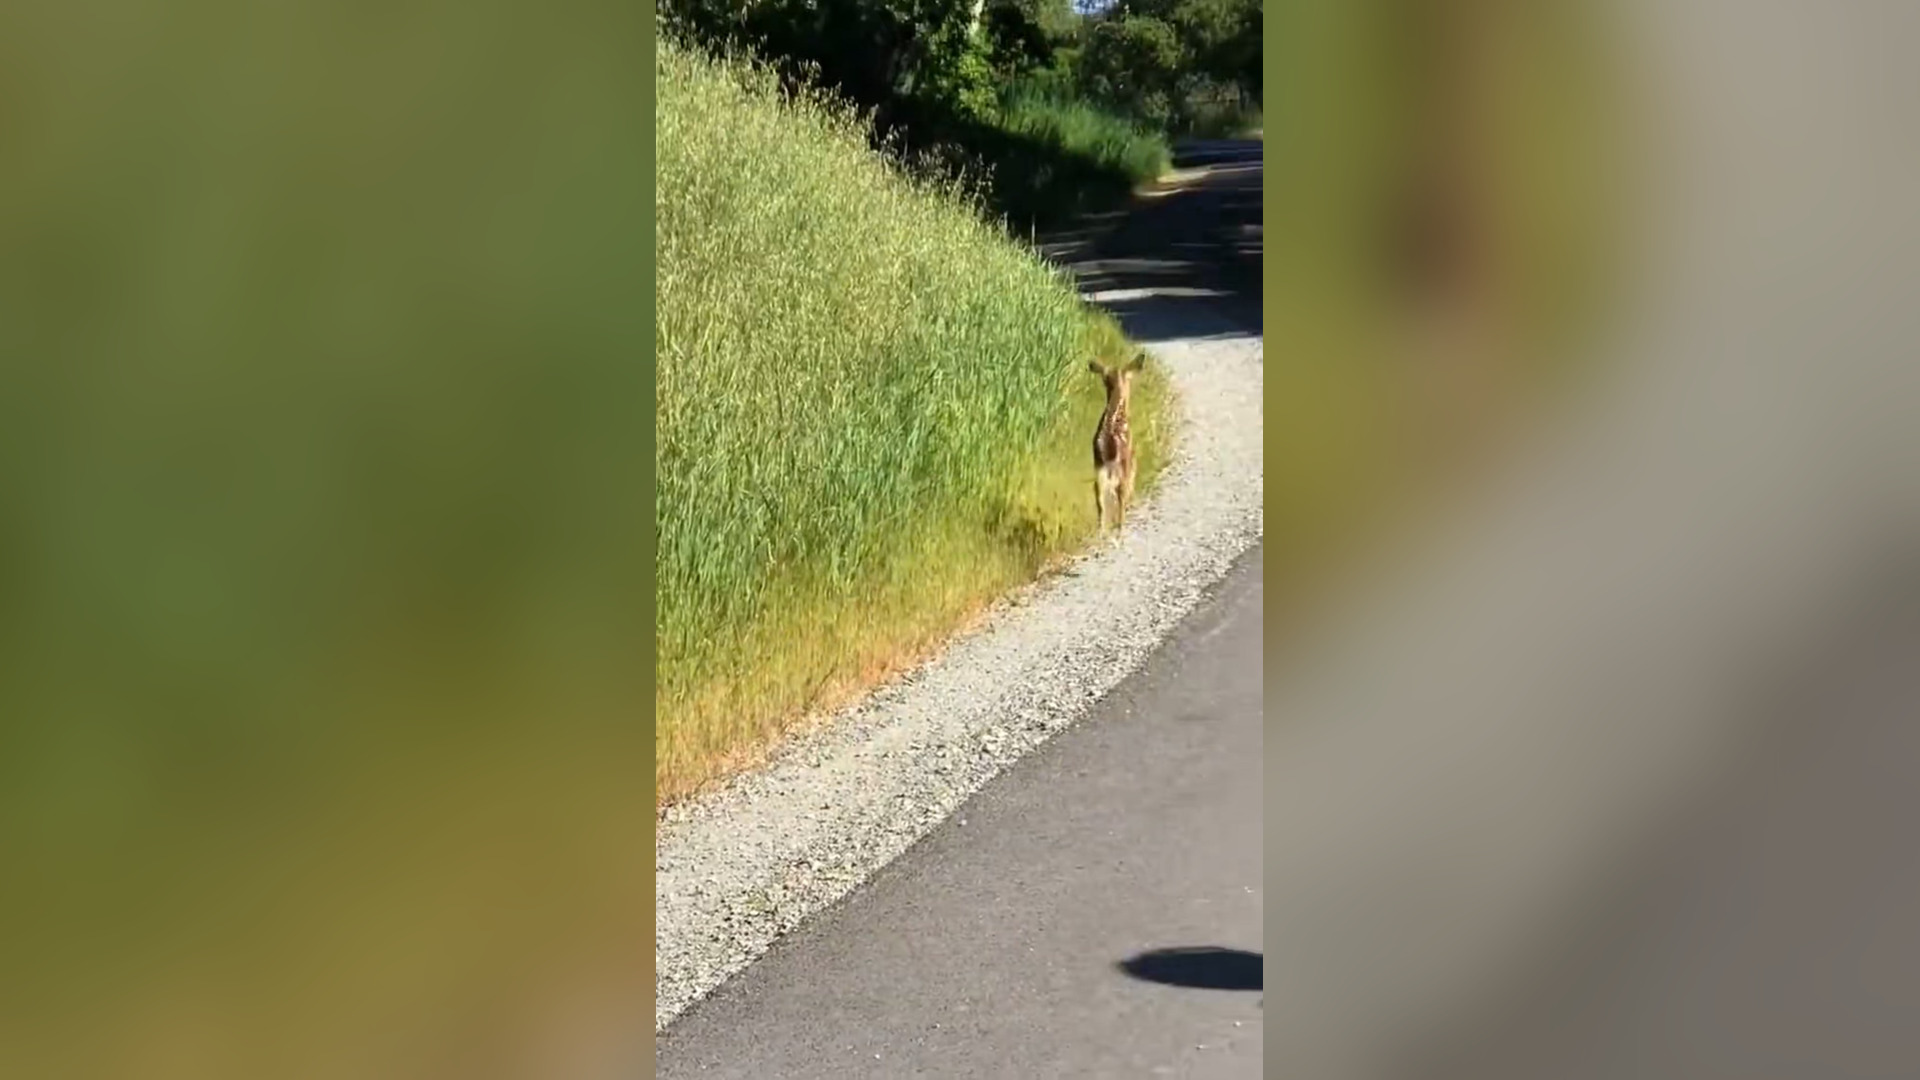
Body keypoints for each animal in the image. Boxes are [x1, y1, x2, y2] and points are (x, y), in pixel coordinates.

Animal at [1090, 351, 1145, 537]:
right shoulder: (1130, 455)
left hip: (1099, 467)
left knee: (1099, 494)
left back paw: (1102, 528)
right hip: (1120, 464)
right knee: (1120, 490)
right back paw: (1120, 525)